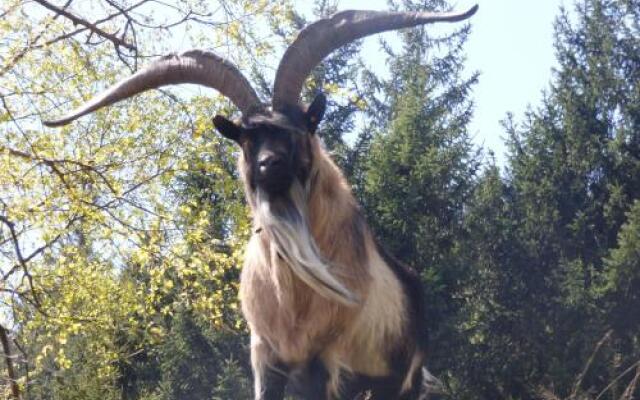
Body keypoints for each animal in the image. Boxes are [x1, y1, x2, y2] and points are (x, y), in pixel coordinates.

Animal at [43, 4, 476, 398]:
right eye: (247, 138)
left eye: (299, 128)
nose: (270, 164)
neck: (294, 296)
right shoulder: (266, 356)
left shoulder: (324, 360)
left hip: (395, 381)